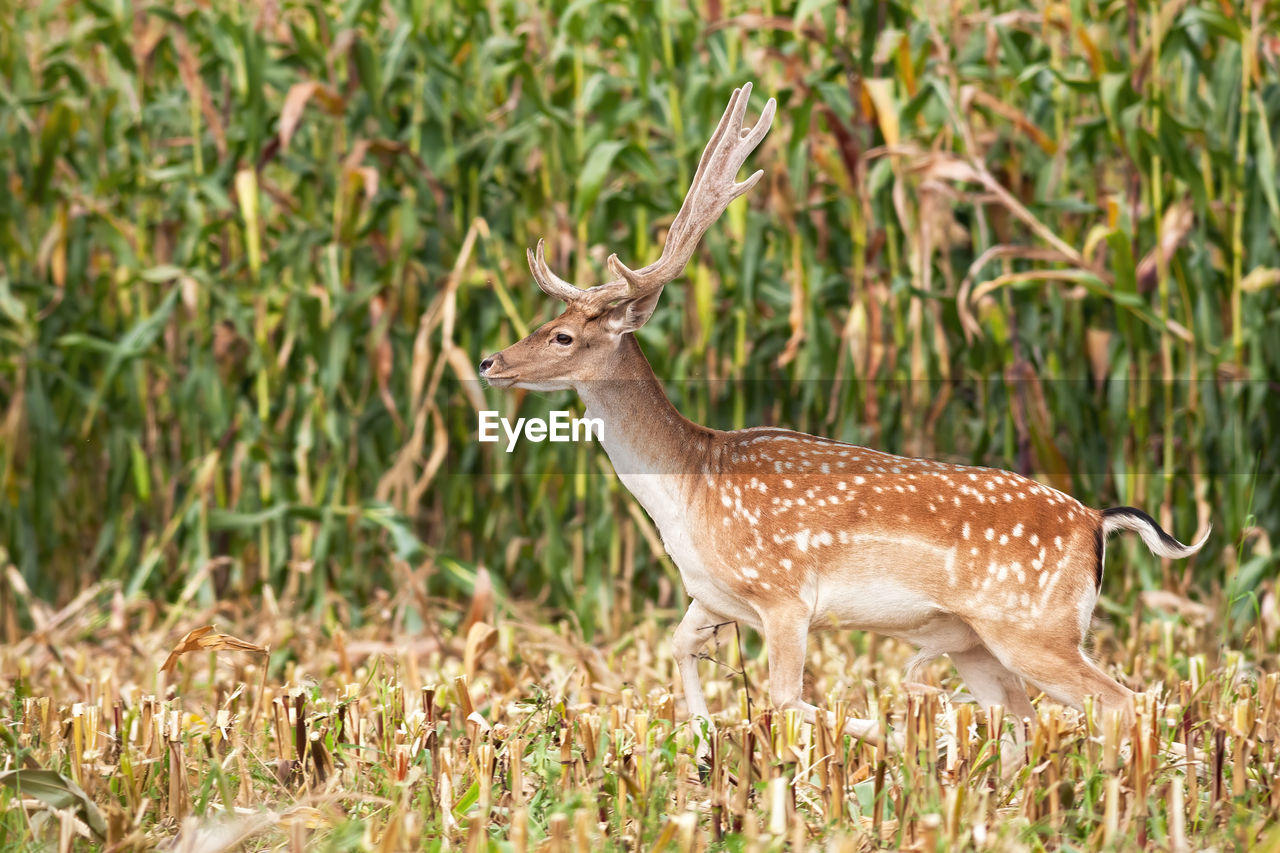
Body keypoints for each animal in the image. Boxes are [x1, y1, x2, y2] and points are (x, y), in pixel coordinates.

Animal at [478, 83, 1208, 753]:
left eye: (564, 336)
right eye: (548, 322)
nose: (489, 360)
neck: (688, 487)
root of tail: (1097, 522)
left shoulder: (783, 592)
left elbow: (784, 699)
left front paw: (894, 729)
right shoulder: (711, 594)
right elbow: (678, 648)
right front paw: (705, 737)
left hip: (1034, 626)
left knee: (1122, 701)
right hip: (978, 642)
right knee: (1026, 723)